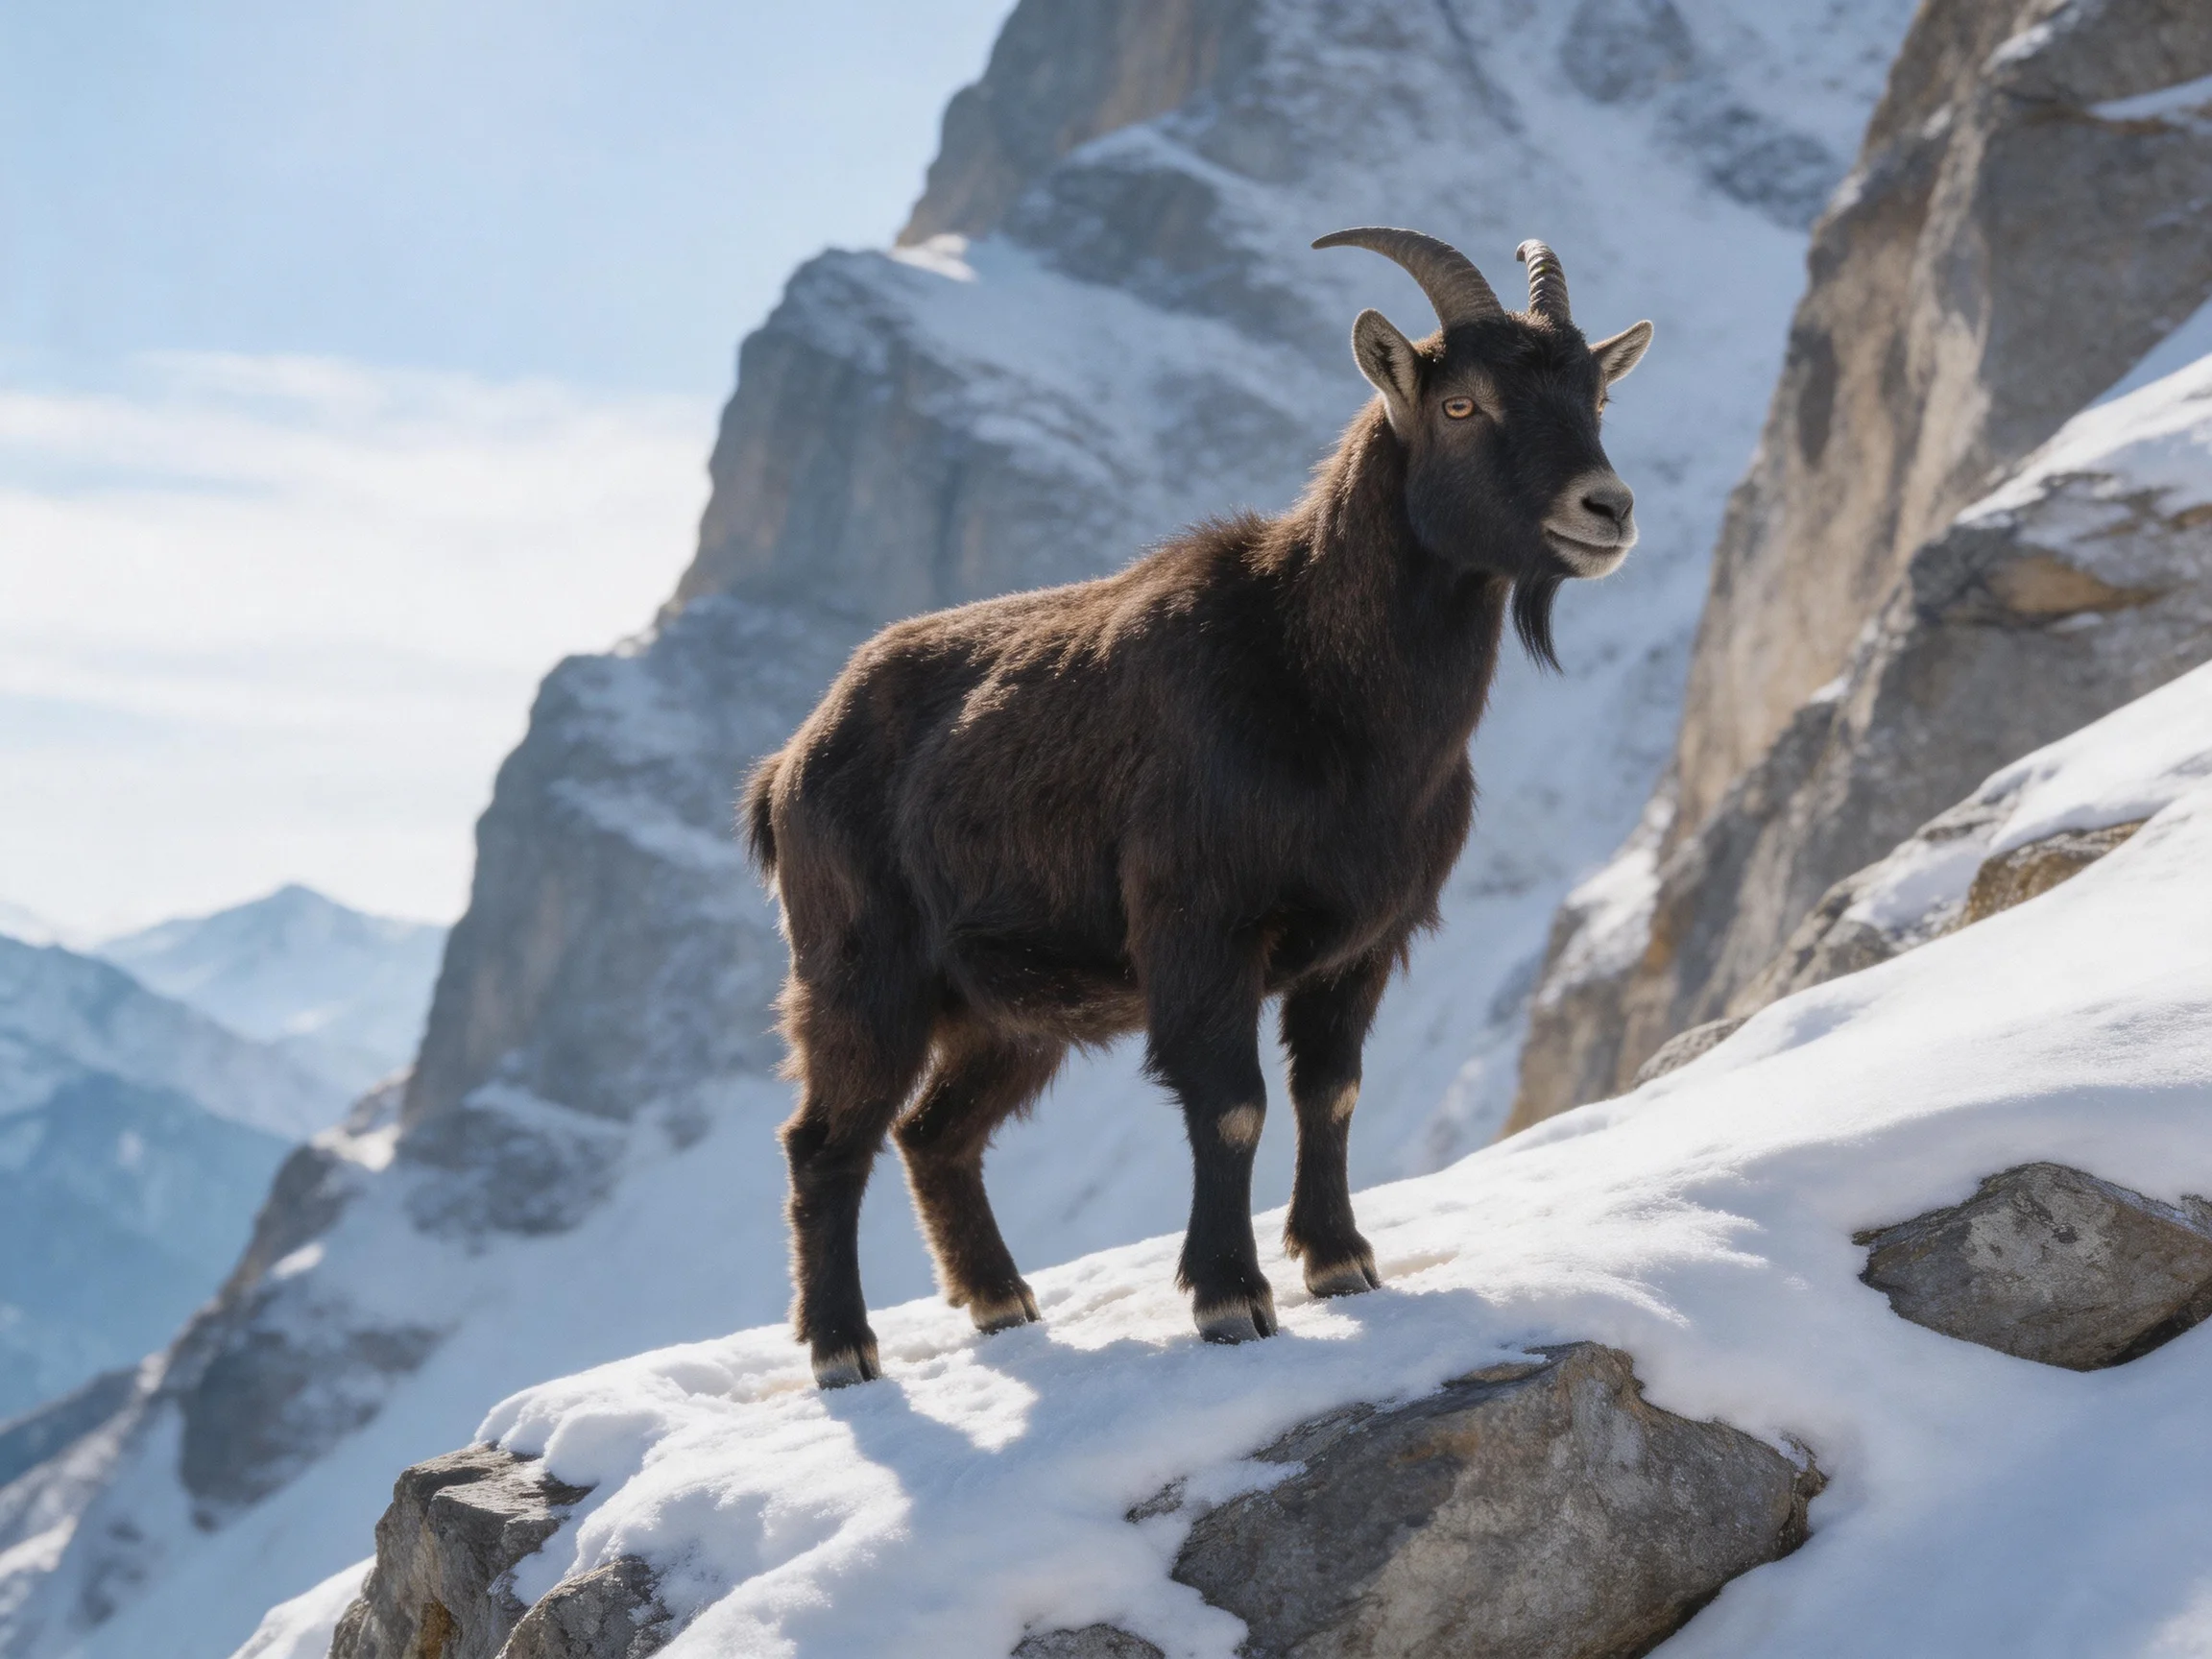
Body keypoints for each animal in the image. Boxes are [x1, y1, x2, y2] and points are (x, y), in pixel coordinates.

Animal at [745, 228, 1654, 1386]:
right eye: (1462, 403)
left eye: (1597, 394)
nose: (1606, 508)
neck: (1321, 683)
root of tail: (788, 765)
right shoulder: (1201, 928)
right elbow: (1231, 1108)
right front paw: (1230, 1299)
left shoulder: (1362, 943)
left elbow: (1331, 1093)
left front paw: (1342, 1264)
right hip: (864, 974)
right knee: (825, 1142)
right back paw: (842, 1349)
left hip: (1008, 1009)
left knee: (935, 1132)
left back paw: (1000, 1301)